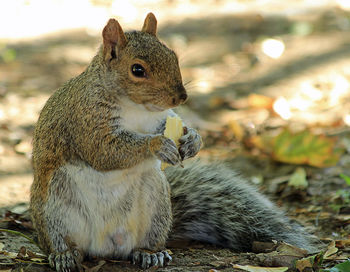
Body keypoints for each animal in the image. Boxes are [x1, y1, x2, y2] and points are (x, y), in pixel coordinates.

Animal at [30, 13, 318, 272]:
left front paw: (193, 139)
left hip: (156, 201)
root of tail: (105, 247)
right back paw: (65, 255)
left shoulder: (162, 118)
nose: (181, 97)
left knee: (145, 243)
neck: (136, 107)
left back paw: (151, 254)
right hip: (55, 205)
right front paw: (156, 146)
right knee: (62, 241)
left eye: (174, 57)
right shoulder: (85, 121)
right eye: (137, 70)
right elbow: (103, 151)